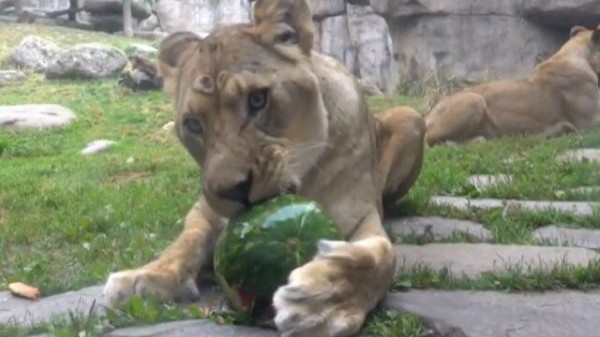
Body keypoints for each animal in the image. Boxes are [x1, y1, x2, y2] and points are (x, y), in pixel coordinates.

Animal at [101, 0, 424, 336]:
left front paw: (321, 303)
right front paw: (142, 277)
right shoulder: (205, 210)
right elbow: (185, 241)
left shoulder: (360, 216)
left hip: (410, 117)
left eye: (258, 100)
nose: (233, 190)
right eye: (193, 124)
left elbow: (382, 257)